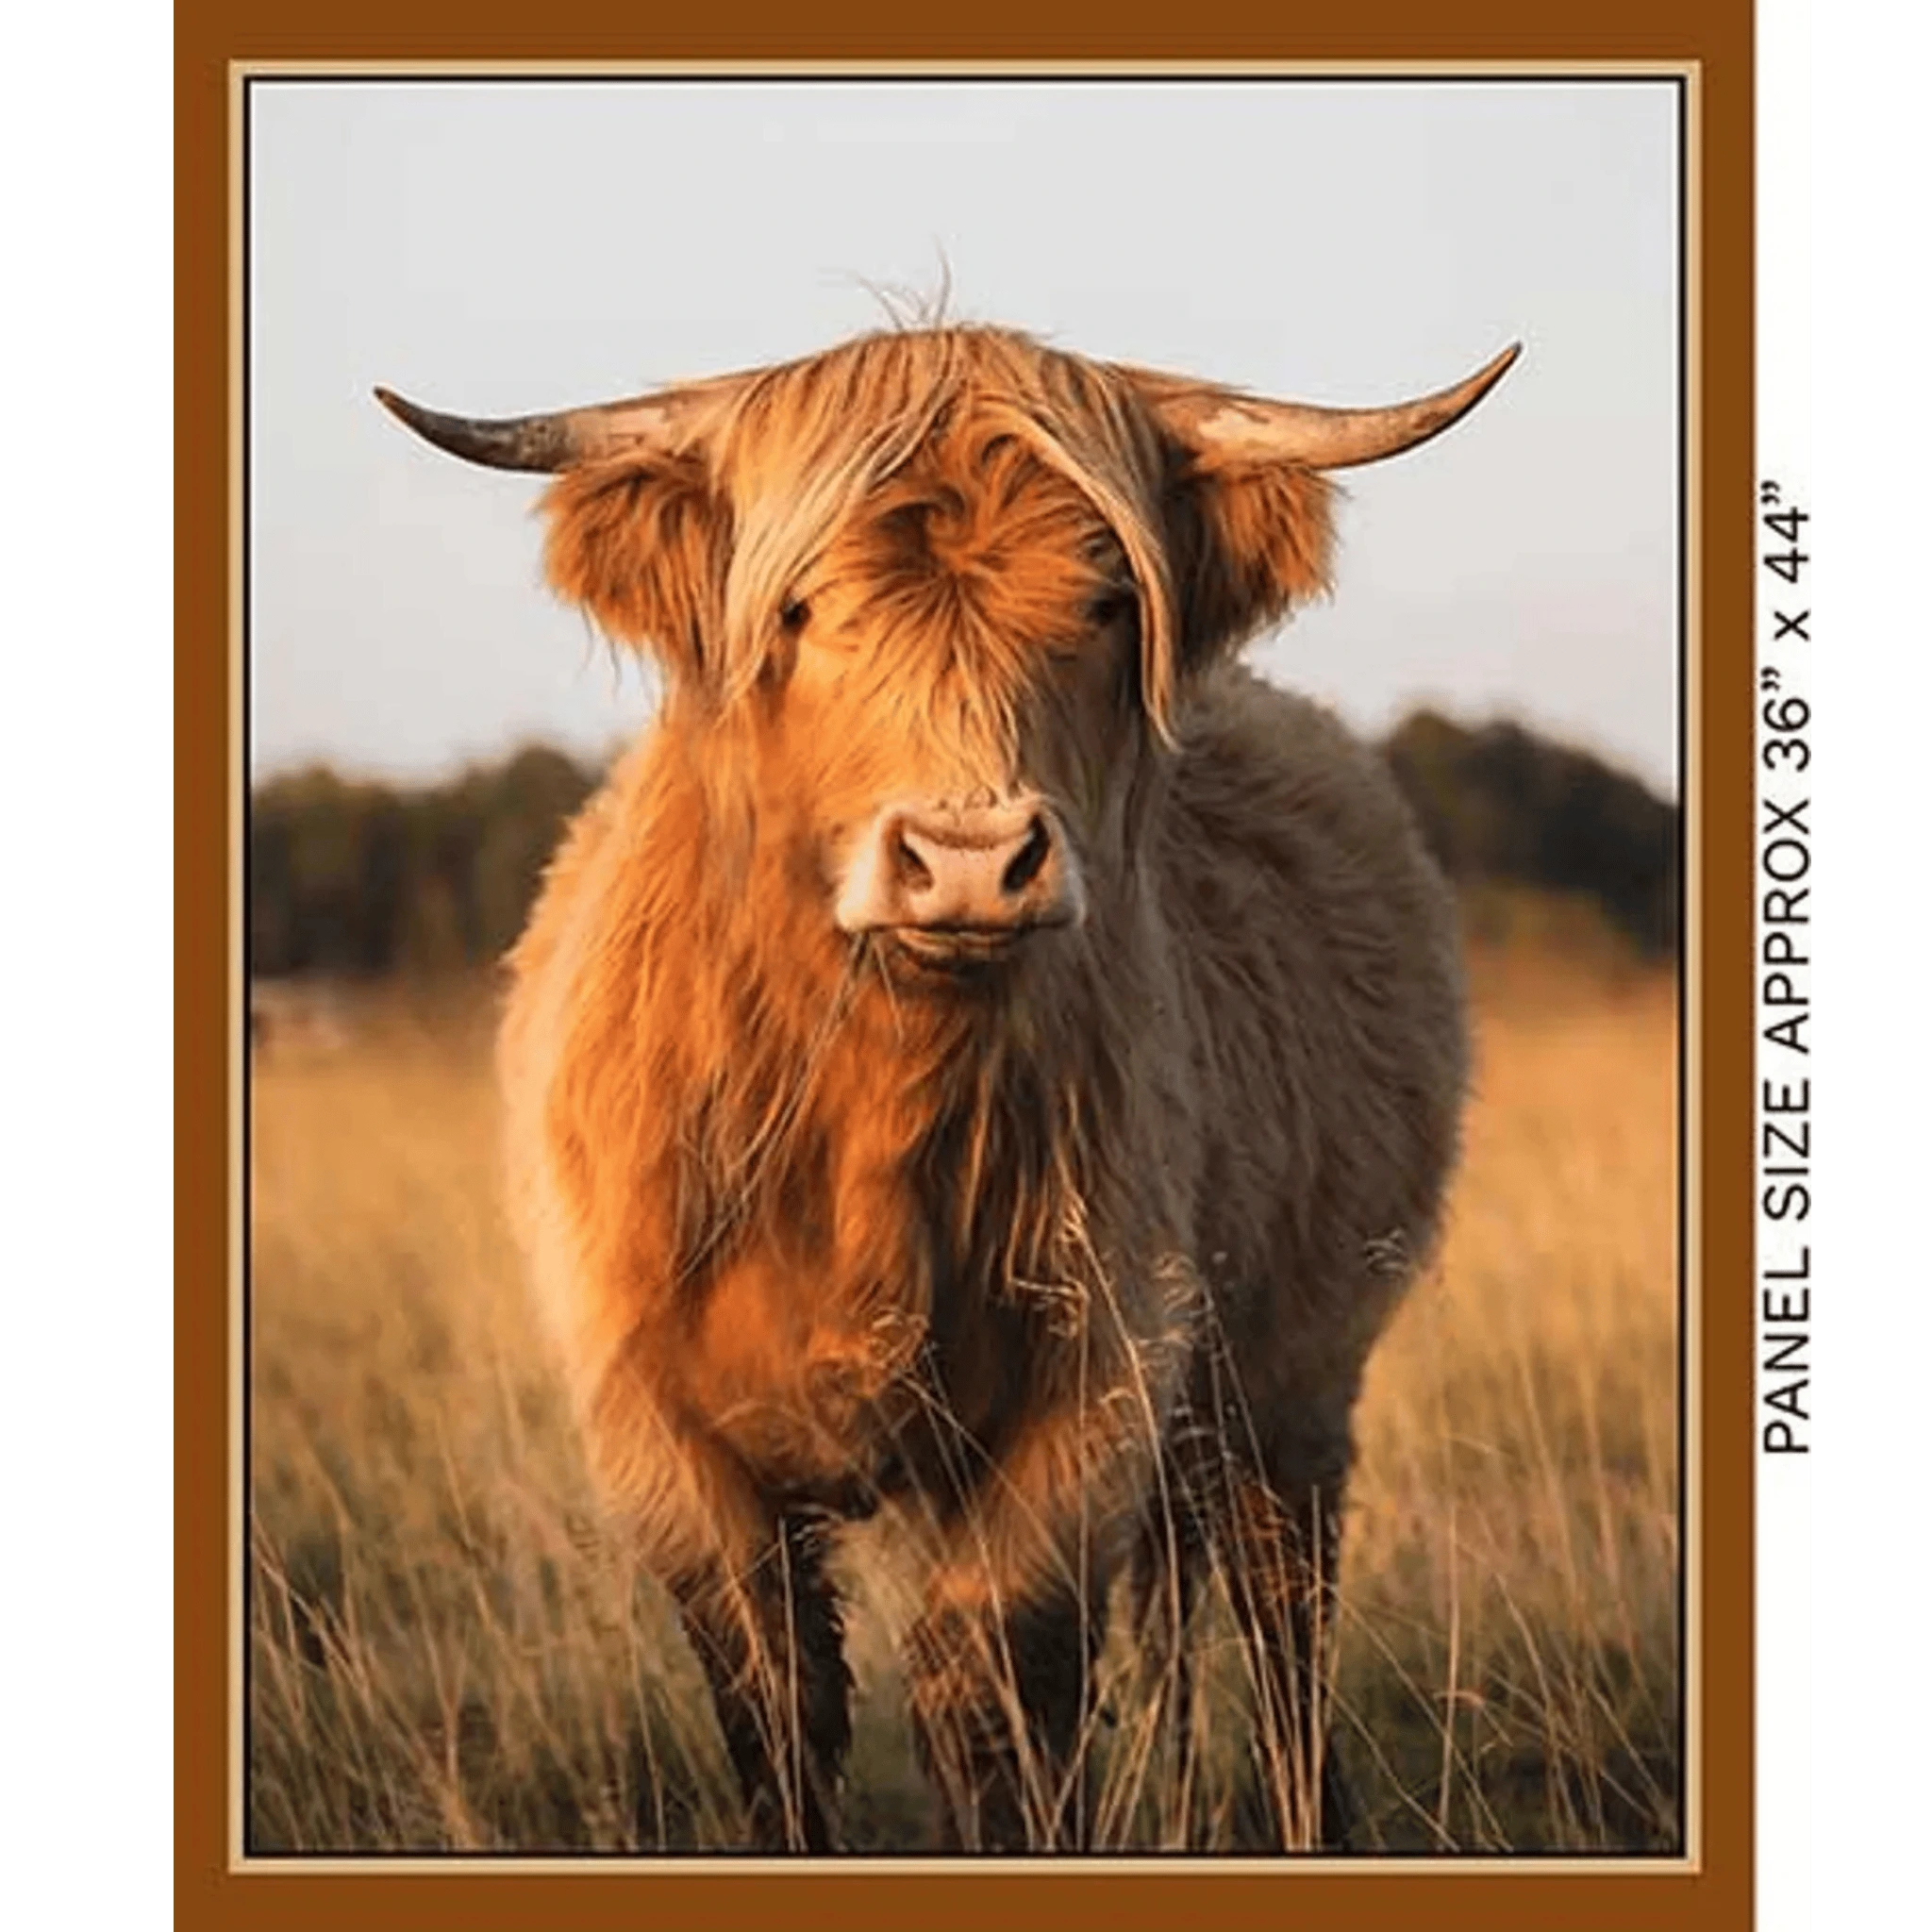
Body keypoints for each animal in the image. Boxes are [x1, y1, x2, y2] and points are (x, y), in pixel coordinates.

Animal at [377, 324, 1515, 1853]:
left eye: (1103, 601)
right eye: (800, 609)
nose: (970, 858)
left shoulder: (1094, 1388)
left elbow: (999, 1694)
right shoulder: (662, 1427)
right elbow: (779, 1705)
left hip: (1299, 1377)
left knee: (1282, 1618)